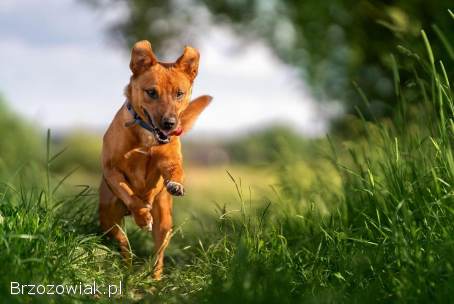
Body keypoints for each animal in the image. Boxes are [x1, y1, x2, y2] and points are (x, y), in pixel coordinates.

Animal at [99, 40, 211, 280]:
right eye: (151, 92)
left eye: (179, 93)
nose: (169, 123)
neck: (148, 136)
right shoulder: (112, 169)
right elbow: (130, 194)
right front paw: (142, 215)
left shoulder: (169, 161)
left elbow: (174, 171)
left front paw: (175, 185)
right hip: (109, 220)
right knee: (124, 245)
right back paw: (128, 268)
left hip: (165, 223)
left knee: (158, 255)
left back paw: (155, 279)